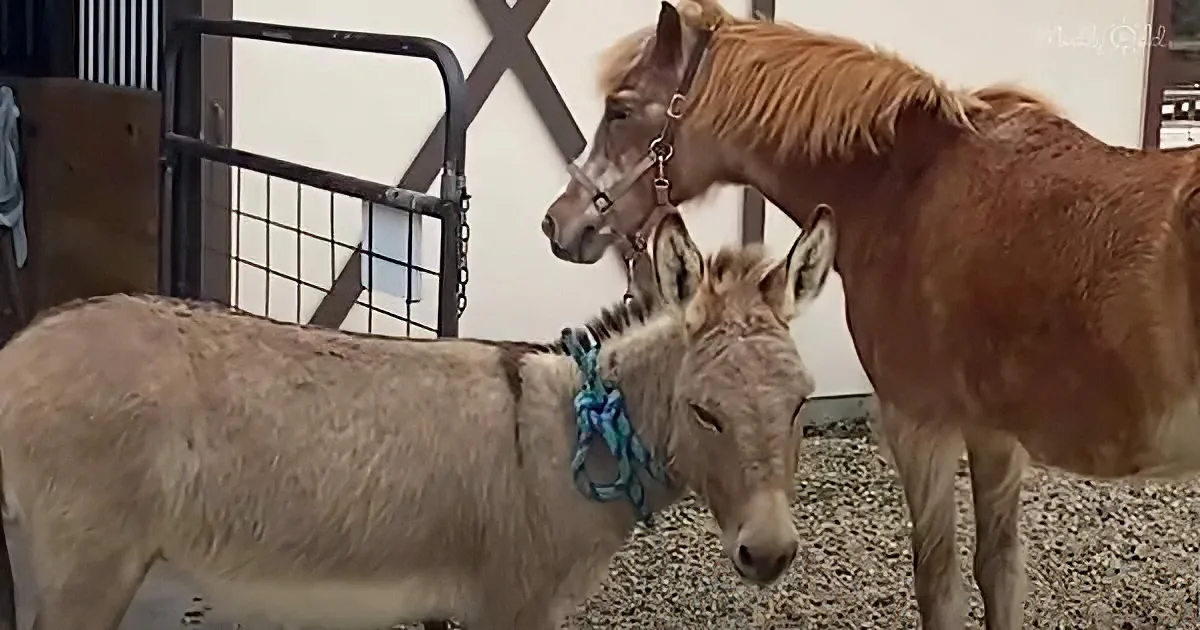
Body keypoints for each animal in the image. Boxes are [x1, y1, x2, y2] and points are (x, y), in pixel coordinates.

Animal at [0, 208, 835, 630]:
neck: (577, 440)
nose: (770, 554)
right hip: (89, 568)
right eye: (705, 412)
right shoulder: (514, 606)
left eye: (800, 402)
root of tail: (18, 349)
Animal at [536, 1, 1200, 628]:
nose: (557, 222)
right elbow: (1001, 573)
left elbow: (940, 585)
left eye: (620, 110)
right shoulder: (994, 436)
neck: (907, 186)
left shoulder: (920, 426)